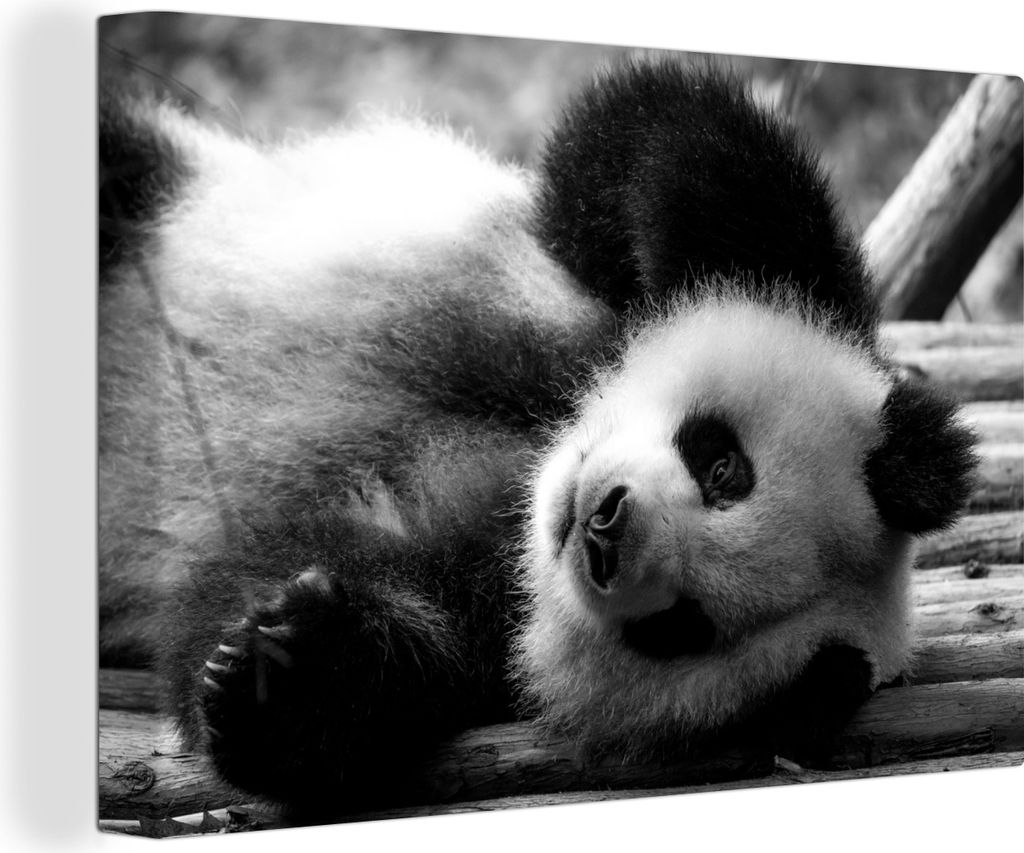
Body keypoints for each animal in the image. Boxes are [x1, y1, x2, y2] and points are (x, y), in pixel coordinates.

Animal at [99, 57, 978, 814]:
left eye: (680, 626)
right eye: (724, 464)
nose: (604, 525)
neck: (525, 482)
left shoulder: (485, 607)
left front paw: (287, 672)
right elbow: (672, 146)